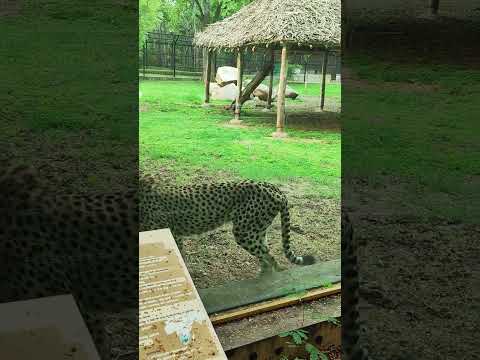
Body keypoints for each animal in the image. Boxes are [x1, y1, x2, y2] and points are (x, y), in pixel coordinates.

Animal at [139, 174, 316, 272]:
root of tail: (271, 186)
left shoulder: (173, 234)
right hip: (257, 230)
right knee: (266, 253)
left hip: (244, 231)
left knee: (269, 256)